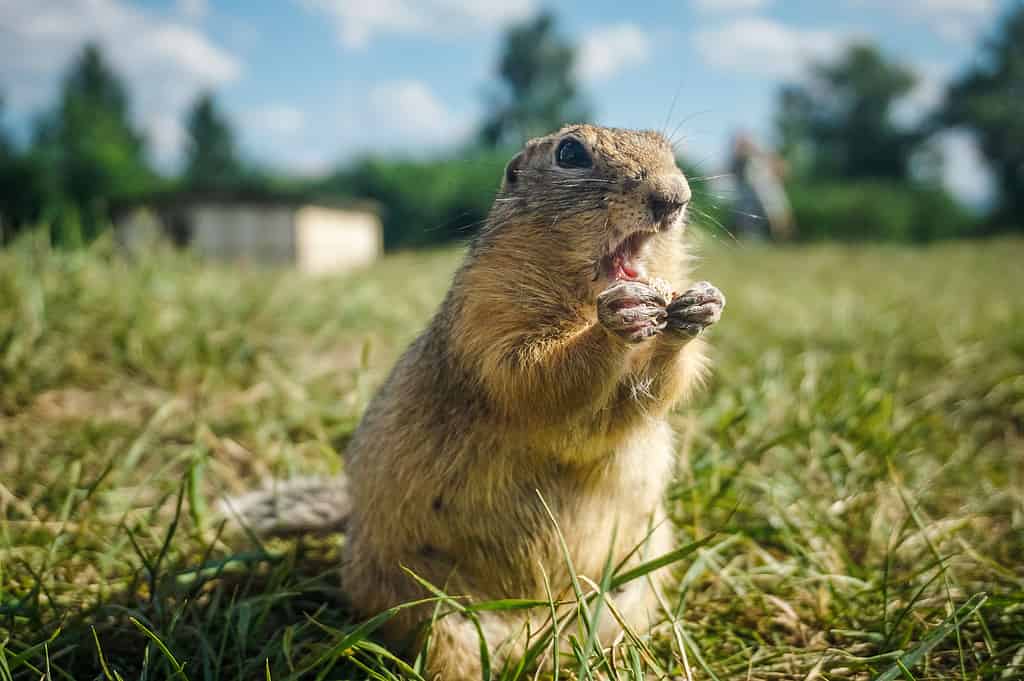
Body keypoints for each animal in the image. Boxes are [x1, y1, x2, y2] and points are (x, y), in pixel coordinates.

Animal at [226, 124, 720, 675]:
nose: (674, 197)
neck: (580, 293)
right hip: (432, 609)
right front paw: (618, 319)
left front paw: (697, 309)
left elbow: (644, 400)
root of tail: (529, 634)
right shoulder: (489, 315)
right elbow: (535, 375)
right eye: (570, 152)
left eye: (668, 150)